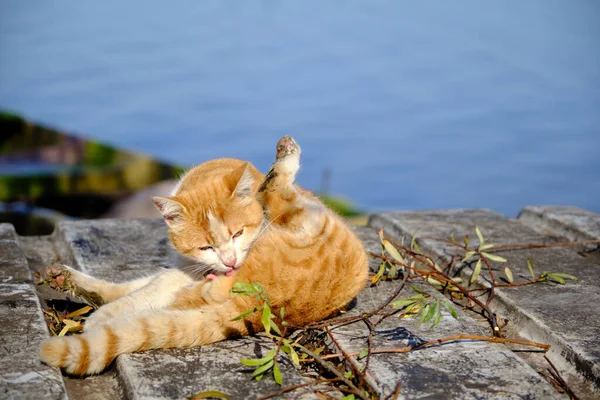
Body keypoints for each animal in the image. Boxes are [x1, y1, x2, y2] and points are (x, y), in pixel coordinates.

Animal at [39, 137, 368, 376]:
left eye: (237, 234)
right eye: (205, 247)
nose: (229, 261)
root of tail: (272, 308)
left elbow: (140, 294)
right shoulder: (188, 266)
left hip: (310, 218)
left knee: (279, 188)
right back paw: (68, 281)